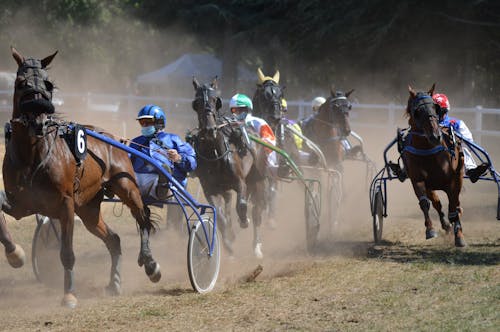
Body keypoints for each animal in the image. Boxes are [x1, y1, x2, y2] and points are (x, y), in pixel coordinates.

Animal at [0, 48, 160, 308]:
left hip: (126, 186)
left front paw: (69, 294)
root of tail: (110, 137)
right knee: (114, 239)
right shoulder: (21, 204)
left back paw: (150, 263)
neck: (33, 156)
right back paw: (114, 283)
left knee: (143, 217)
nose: (38, 122)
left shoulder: (65, 204)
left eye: (48, 84)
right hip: (88, 209)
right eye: (20, 82)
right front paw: (15, 255)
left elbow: (66, 252)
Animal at [189, 78, 268, 260]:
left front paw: (243, 220)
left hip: (258, 178)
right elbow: (220, 217)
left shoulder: (240, 182)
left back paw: (256, 246)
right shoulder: (210, 189)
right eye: (196, 103)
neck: (214, 153)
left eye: (215, 100)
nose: (209, 130)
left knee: (257, 211)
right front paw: (229, 245)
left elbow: (242, 205)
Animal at [402, 85, 464, 246]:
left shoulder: (452, 181)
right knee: (437, 203)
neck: (428, 151)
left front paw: (459, 236)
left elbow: (453, 208)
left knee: (455, 204)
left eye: (435, 108)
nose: (435, 136)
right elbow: (425, 203)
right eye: (417, 111)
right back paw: (446, 225)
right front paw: (430, 230)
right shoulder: (418, 180)